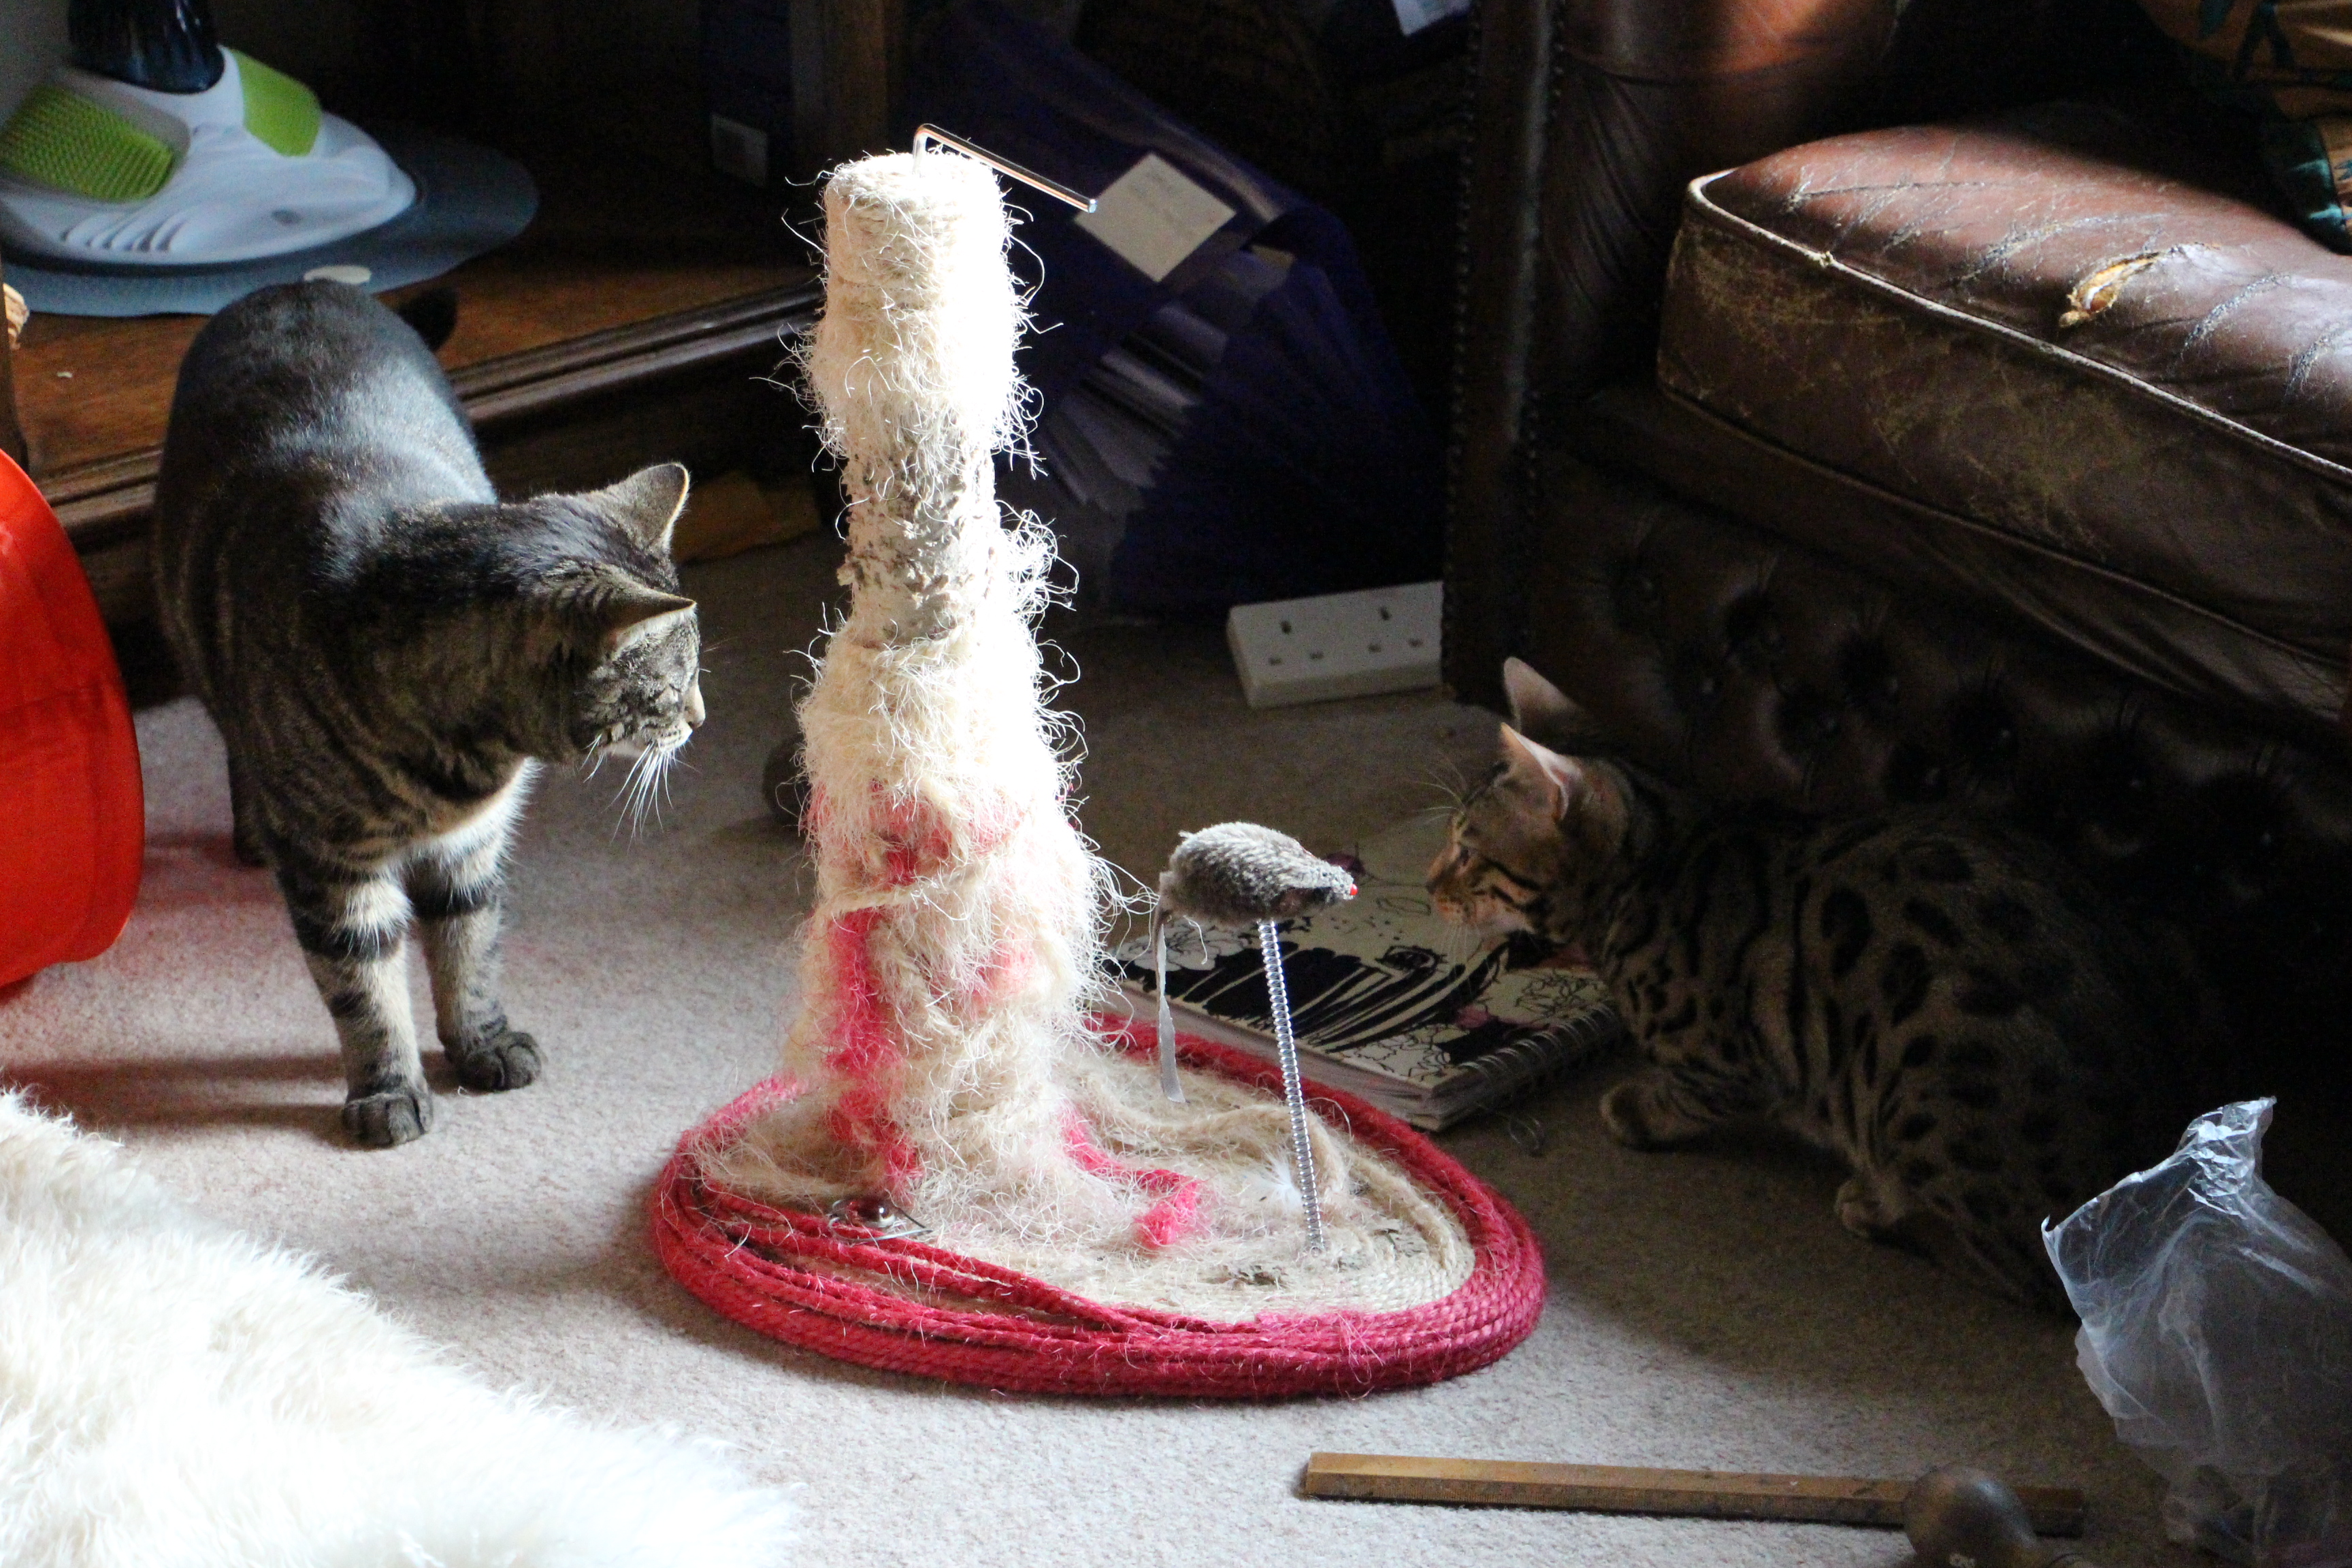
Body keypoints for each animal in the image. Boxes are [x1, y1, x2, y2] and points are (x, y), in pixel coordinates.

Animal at [151, 280, 706, 1148]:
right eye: (672, 686)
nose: (702, 718)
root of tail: (301, 283)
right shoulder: (332, 869)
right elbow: (364, 990)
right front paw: (387, 1088)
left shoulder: (471, 847)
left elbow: (468, 949)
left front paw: (481, 1045)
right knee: (237, 750)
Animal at [1427, 658, 2222, 1306]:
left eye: (1467, 852)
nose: (1430, 883)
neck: (1659, 869)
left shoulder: (1730, 1066)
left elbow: (1686, 1096)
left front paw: (1634, 1108)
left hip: (1923, 1079)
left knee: (2016, 1269)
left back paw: (1878, 1206)